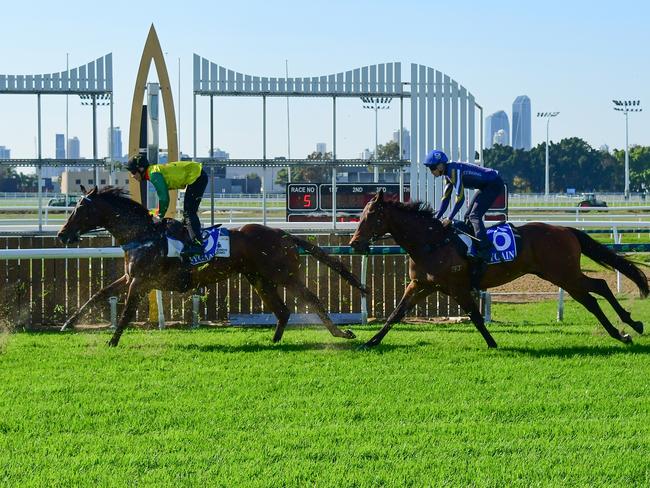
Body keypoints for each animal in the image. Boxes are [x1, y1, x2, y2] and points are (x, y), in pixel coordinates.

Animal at [57, 185, 364, 346]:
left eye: (80, 209)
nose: (61, 234)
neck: (143, 236)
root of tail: (282, 233)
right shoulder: (129, 277)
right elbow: (98, 294)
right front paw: (68, 323)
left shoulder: (141, 281)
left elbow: (126, 312)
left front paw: (112, 341)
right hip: (258, 278)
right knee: (283, 310)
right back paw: (274, 341)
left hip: (283, 275)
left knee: (311, 298)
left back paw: (340, 332)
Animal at [346, 190, 644, 346]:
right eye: (361, 215)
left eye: (373, 216)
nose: (354, 243)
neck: (431, 242)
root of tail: (565, 229)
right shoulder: (422, 285)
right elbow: (395, 314)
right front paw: (371, 341)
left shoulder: (457, 287)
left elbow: (476, 317)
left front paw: (492, 343)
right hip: (560, 275)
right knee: (596, 292)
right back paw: (626, 328)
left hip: (564, 274)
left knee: (596, 293)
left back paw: (627, 328)